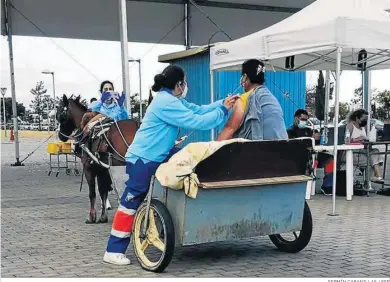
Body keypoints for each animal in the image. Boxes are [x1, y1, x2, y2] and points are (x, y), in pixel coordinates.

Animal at [56, 94, 139, 225]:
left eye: (60, 115)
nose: (61, 135)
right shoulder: (103, 170)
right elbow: (103, 191)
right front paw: (103, 216)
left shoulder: (89, 168)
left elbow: (93, 193)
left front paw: (91, 216)